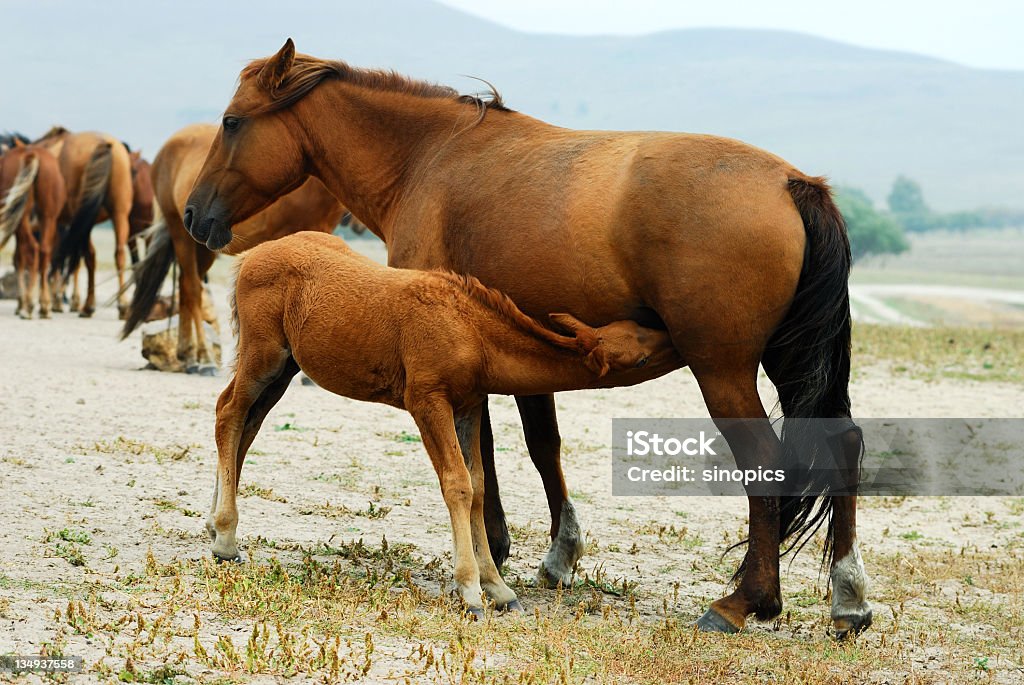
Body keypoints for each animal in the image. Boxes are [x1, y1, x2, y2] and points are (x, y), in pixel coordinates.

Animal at [0, 141, 67, 321]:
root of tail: (31, 154)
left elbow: (19, 259)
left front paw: (20, 303)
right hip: (48, 217)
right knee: (44, 251)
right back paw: (45, 306)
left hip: (22, 219)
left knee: (32, 249)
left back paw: (28, 306)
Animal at [36, 126, 136, 317]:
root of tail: (103, 143)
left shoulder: (57, 222)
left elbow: (56, 254)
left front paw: (53, 301)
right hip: (118, 213)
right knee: (117, 253)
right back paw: (121, 304)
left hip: (82, 217)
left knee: (88, 254)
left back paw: (86, 305)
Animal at [120, 121, 348, 368]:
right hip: (181, 234)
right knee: (193, 288)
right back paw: (202, 355)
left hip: (202, 247)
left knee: (185, 287)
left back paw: (186, 353)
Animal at [209, 231, 679, 614]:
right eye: (640, 355)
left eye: (638, 329)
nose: (674, 339)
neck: (473, 332)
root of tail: (251, 256)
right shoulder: (427, 402)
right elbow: (457, 483)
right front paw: (470, 591)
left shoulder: (468, 405)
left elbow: (479, 487)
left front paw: (498, 588)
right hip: (264, 355)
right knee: (228, 413)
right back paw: (226, 538)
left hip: (287, 366)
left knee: (248, 425)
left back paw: (214, 524)